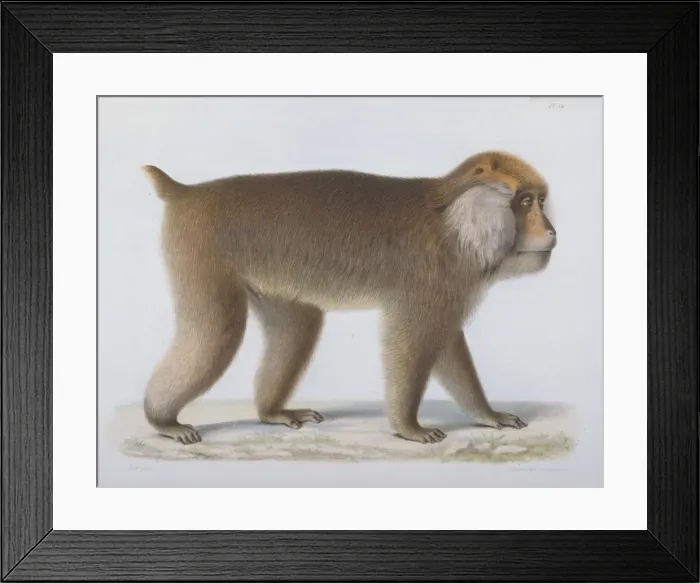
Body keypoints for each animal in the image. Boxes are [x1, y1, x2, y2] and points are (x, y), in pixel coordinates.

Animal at [140, 150, 557, 445]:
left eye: (540, 201)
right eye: (526, 202)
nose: (551, 230)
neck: (452, 221)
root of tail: (188, 191)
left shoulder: (449, 282)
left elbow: (445, 345)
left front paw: (487, 414)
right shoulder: (430, 273)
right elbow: (413, 341)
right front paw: (409, 427)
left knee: (297, 326)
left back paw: (271, 411)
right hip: (199, 247)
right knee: (216, 333)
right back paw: (163, 421)